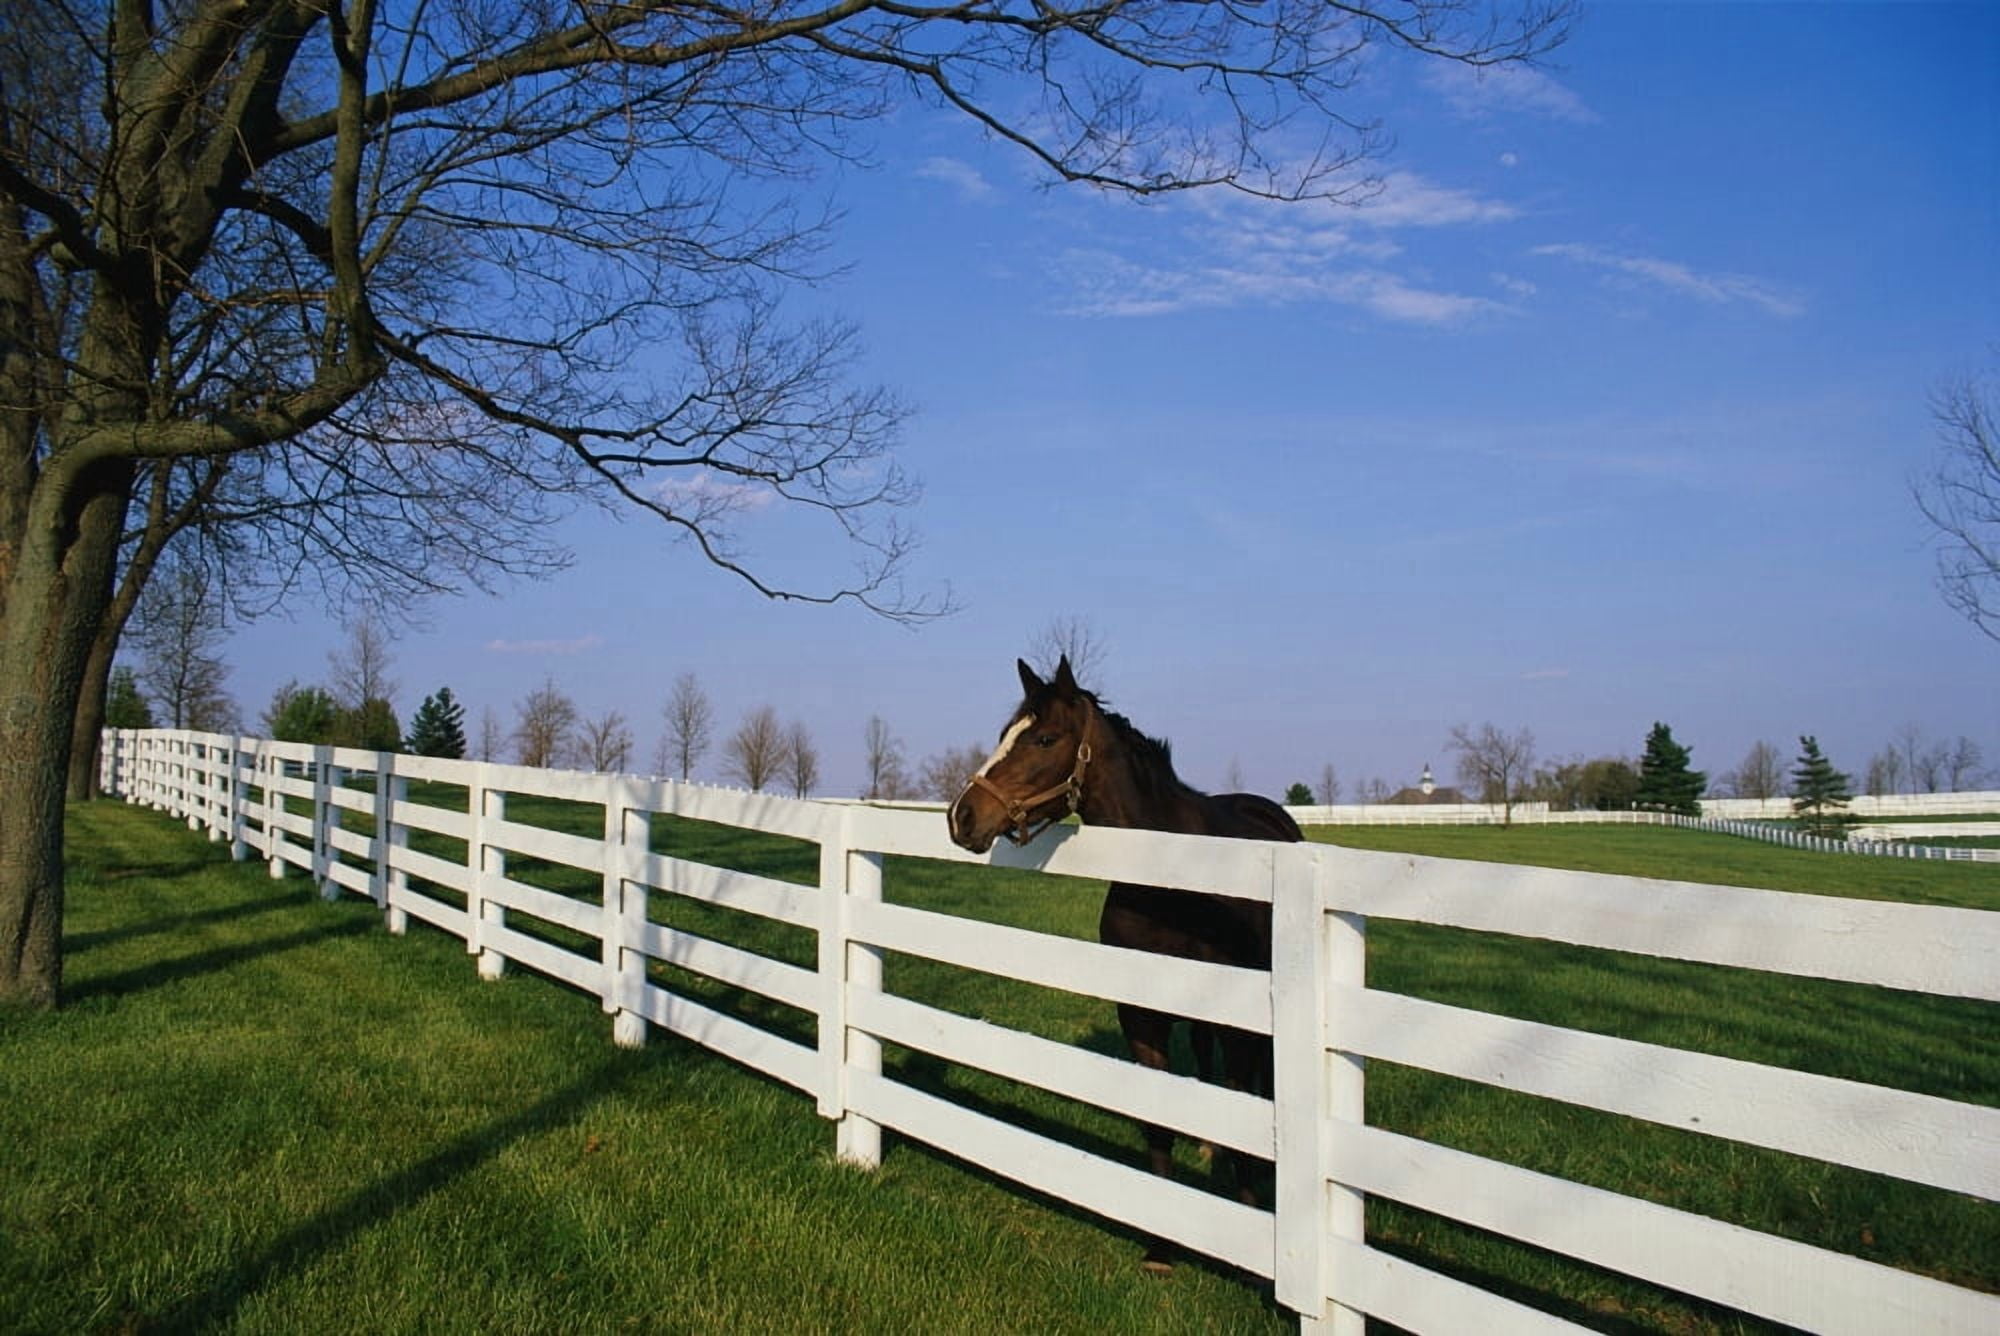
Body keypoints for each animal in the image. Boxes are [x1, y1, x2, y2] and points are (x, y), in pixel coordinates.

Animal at [945, 656, 1301, 1259]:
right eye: (1004, 736)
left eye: (1044, 738)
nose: (961, 816)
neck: (1172, 882)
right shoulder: (1141, 1014)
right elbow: (1157, 1116)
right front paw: (1162, 1243)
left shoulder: (1237, 1022)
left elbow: (1241, 1111)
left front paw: (1251, 1222)